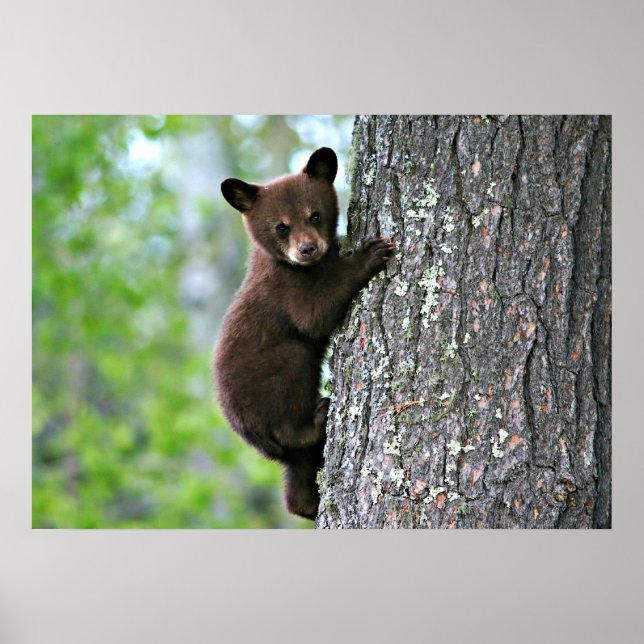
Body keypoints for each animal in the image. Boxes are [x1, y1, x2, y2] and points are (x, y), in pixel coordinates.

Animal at [214, 147, 395, 520]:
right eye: (281, 227)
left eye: (315, 215)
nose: (307, 249)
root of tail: (249, 435)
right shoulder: (286, 289)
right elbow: (315, 315)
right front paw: (368, 254)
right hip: (275, 378)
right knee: (291, 405)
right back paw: (318, 416)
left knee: (297, 476)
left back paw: (307, 504)